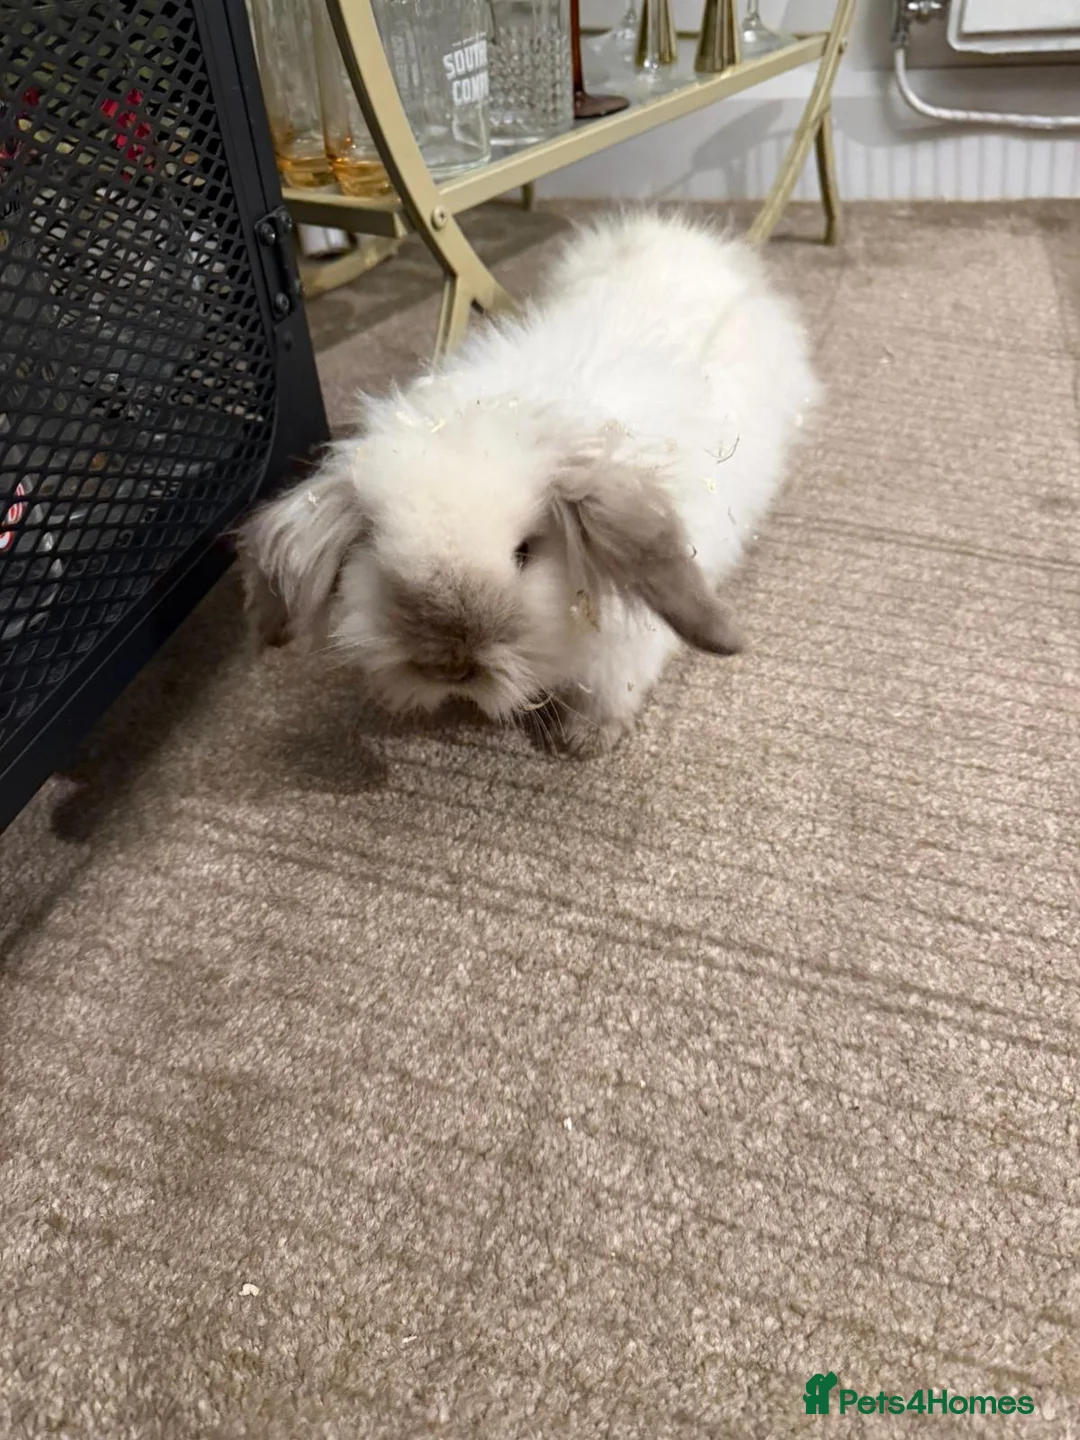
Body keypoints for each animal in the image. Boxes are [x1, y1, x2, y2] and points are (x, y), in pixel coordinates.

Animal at [240, 210, 820, 756]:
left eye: (524, 553)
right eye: (381, 558)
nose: (452, 668)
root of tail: (682, 237)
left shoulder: (624, 648)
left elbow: (611, 690)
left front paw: (585, 741)